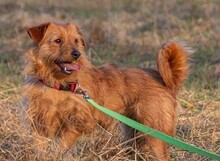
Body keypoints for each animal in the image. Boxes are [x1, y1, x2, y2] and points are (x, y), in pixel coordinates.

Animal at [23, 22, 189, 160]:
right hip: (134, 131)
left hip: (154, 131)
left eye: (76, 41)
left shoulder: (79, 123)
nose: (77, 54)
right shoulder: (39, 124)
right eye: (58, 41)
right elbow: (40, 147)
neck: (58, 84)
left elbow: (61, 145)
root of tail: (163, 79)